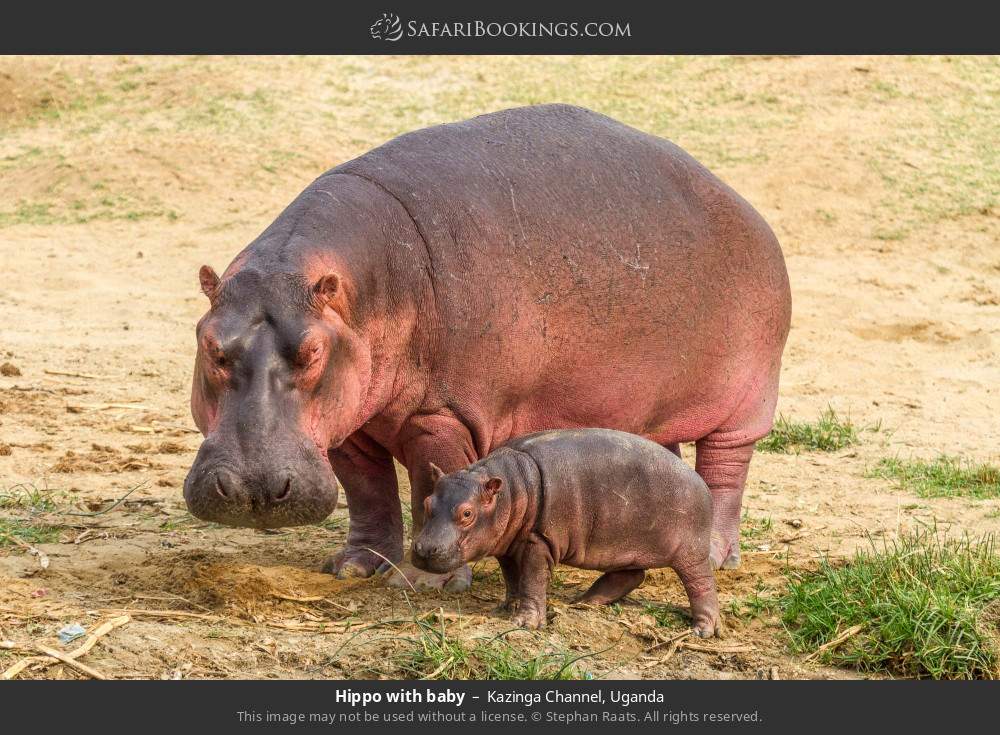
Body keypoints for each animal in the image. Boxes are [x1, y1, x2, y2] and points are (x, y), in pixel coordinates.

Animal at [183, 104, 791, 590]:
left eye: (312, 352)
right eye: (209, 344)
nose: (254, 489)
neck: (359, 289)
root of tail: (748, 208)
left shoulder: (443, 415)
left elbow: (432, 479)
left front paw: (430, 581)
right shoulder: (349, 422)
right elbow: (367, 491)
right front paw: (355, 566)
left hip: (745, 399)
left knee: (726, 470)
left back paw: (716, 553)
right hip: (644, 407)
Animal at [413, 429, 722, 636]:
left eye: (467, 513)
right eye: (427, 503)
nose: (424, 549)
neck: (511, 488)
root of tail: (701, 483)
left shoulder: (538, 541)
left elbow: (532, 580)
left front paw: (524, 623)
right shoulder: (507, 544)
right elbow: (512, 578)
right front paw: (506, 608)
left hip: (691, 551)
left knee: (701, 584)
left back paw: (703, 630)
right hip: (626, 545)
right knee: (632, 574)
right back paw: (585, 601)